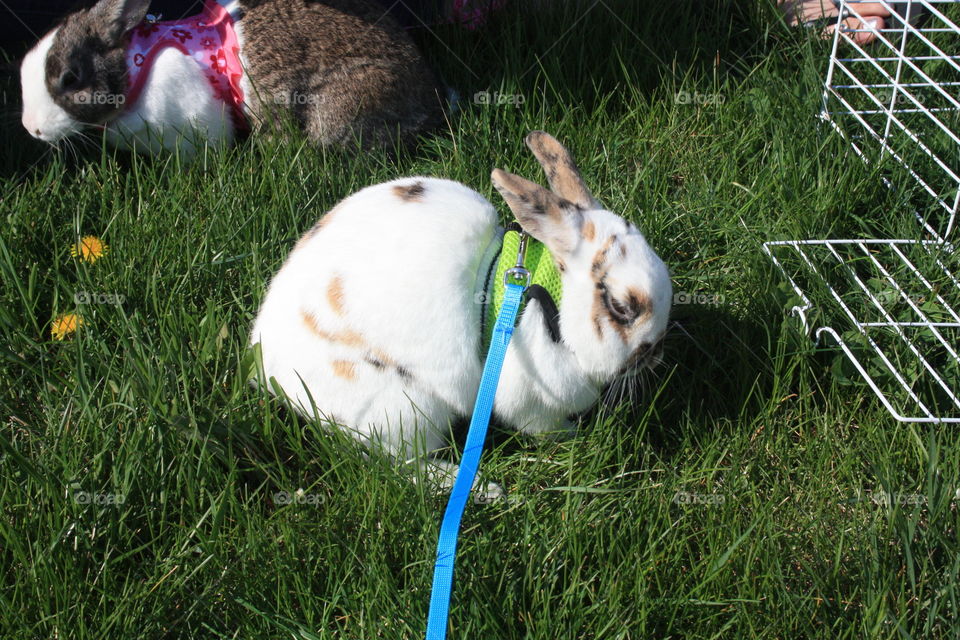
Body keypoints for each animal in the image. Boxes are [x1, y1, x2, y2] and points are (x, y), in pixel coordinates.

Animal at [249, 132, 672, 494]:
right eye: (621, 307)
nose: (656, 352)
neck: (549, 302)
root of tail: (268, 372)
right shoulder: (531, 401)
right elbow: (542, 427)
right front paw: (572, 435)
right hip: (405, 411)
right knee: (403, 465)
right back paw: (479, 487)